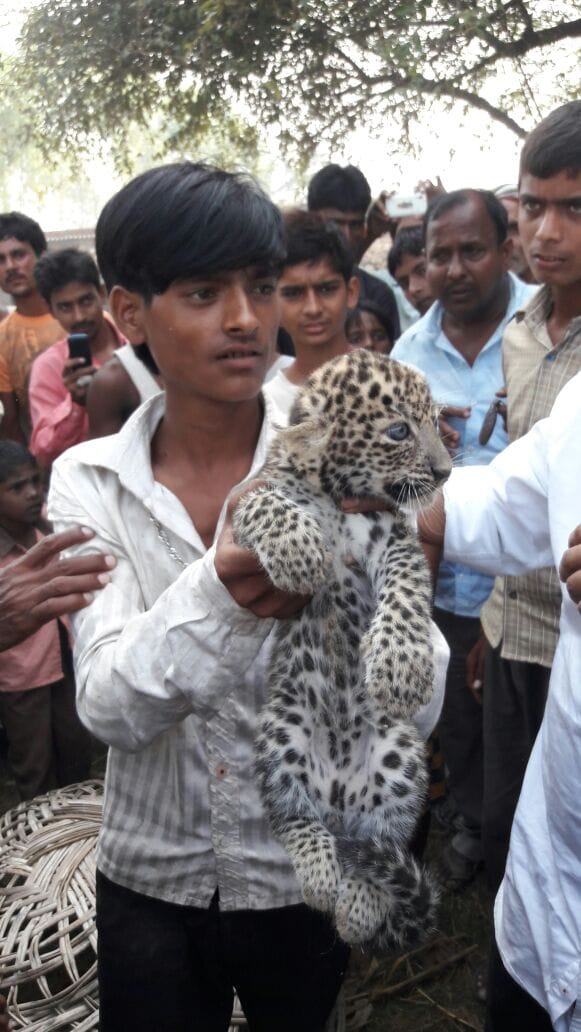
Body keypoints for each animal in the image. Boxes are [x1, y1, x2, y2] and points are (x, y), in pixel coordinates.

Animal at [233, 349, 452, 954]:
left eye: (435, 421)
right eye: (399, 431)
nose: (446, 472)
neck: (336, 492)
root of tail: (337, 795)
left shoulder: (395, 540)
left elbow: (406, 591)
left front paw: (403, 666)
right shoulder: (254, 498)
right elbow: (263, 501)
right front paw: (299, 551)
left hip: (402, 757)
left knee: (379, 844)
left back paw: (356, 904)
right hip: (281, 734)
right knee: (294, 820)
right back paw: (319, 877)